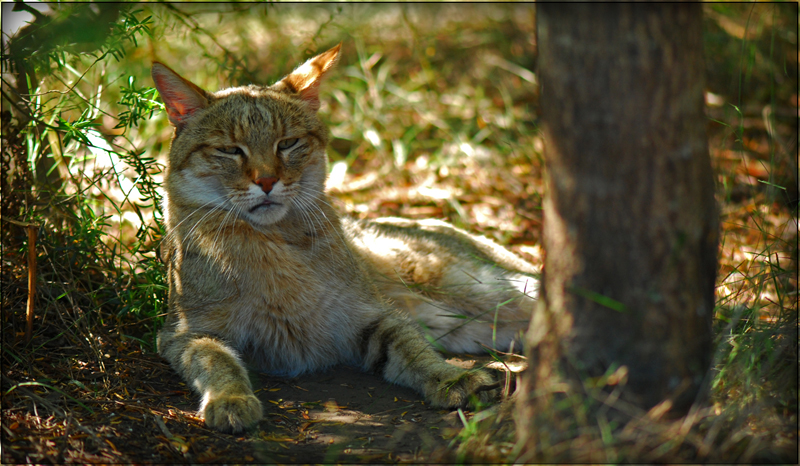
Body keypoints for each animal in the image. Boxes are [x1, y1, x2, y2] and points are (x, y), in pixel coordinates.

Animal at [152, 43, 536, 434]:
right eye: (230, 150)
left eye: (287, 144)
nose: (266, 181)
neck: (270, 238)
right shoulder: (184, 333)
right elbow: (216, 360)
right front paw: (230, 399)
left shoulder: (370, 313)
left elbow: (415, 351)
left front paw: (450, 377)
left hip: (493, 287)